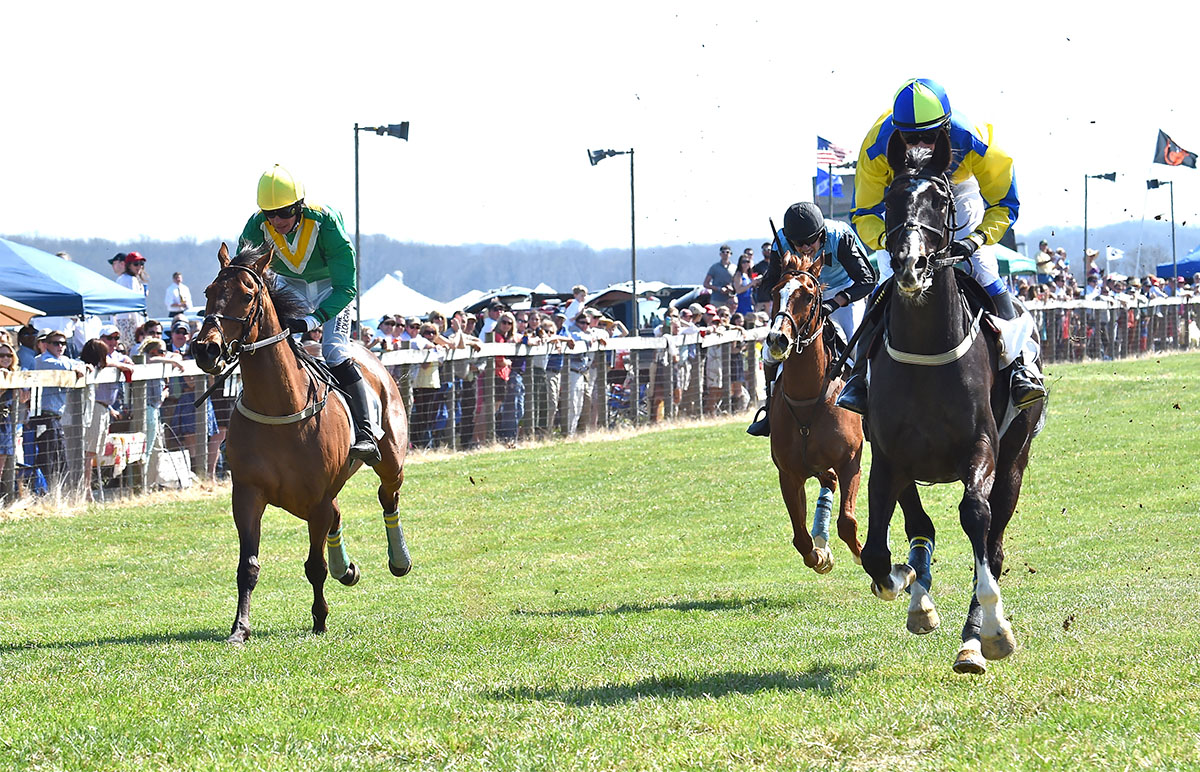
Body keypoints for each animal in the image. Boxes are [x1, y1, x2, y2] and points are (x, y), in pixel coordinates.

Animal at [189, 244, 410, 643]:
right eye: (208, 292)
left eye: (247, 295)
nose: (206, 350)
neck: (279, 403)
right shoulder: (247, 494)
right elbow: (248, 566)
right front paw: (239, 629)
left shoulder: (317, 498)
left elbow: (314, 566)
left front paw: (320, 618)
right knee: (341, 514)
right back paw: (346, 569)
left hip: (389, 460)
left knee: (388, 496)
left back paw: (399, 559)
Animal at [768, 250, 864, 571]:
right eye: (774, 292)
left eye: (808, 296)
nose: (777, 339)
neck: (808, 399)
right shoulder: (789, 474)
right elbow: (801, 539)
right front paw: (821, 554)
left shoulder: (851, 460)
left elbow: (847, 522)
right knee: (828, 480)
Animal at [864, 132, 1041, 677]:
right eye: (890, 199)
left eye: (940, 201)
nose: (910, 264)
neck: (927, 352)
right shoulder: (889, 457)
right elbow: (877, 553)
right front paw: (908, 584)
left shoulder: (981, 447)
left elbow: (975, 517)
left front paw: (994, 632)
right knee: (920, 526)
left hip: (1015, 460)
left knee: (994, 541)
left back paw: (973, 641)